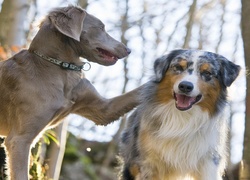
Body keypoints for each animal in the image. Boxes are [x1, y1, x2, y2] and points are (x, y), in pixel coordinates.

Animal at [0, 5, 141, 180]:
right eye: (101, 27)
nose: (128, 50)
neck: (59, 67)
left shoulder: (102, 109)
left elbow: (136, 93)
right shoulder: (19, 139)